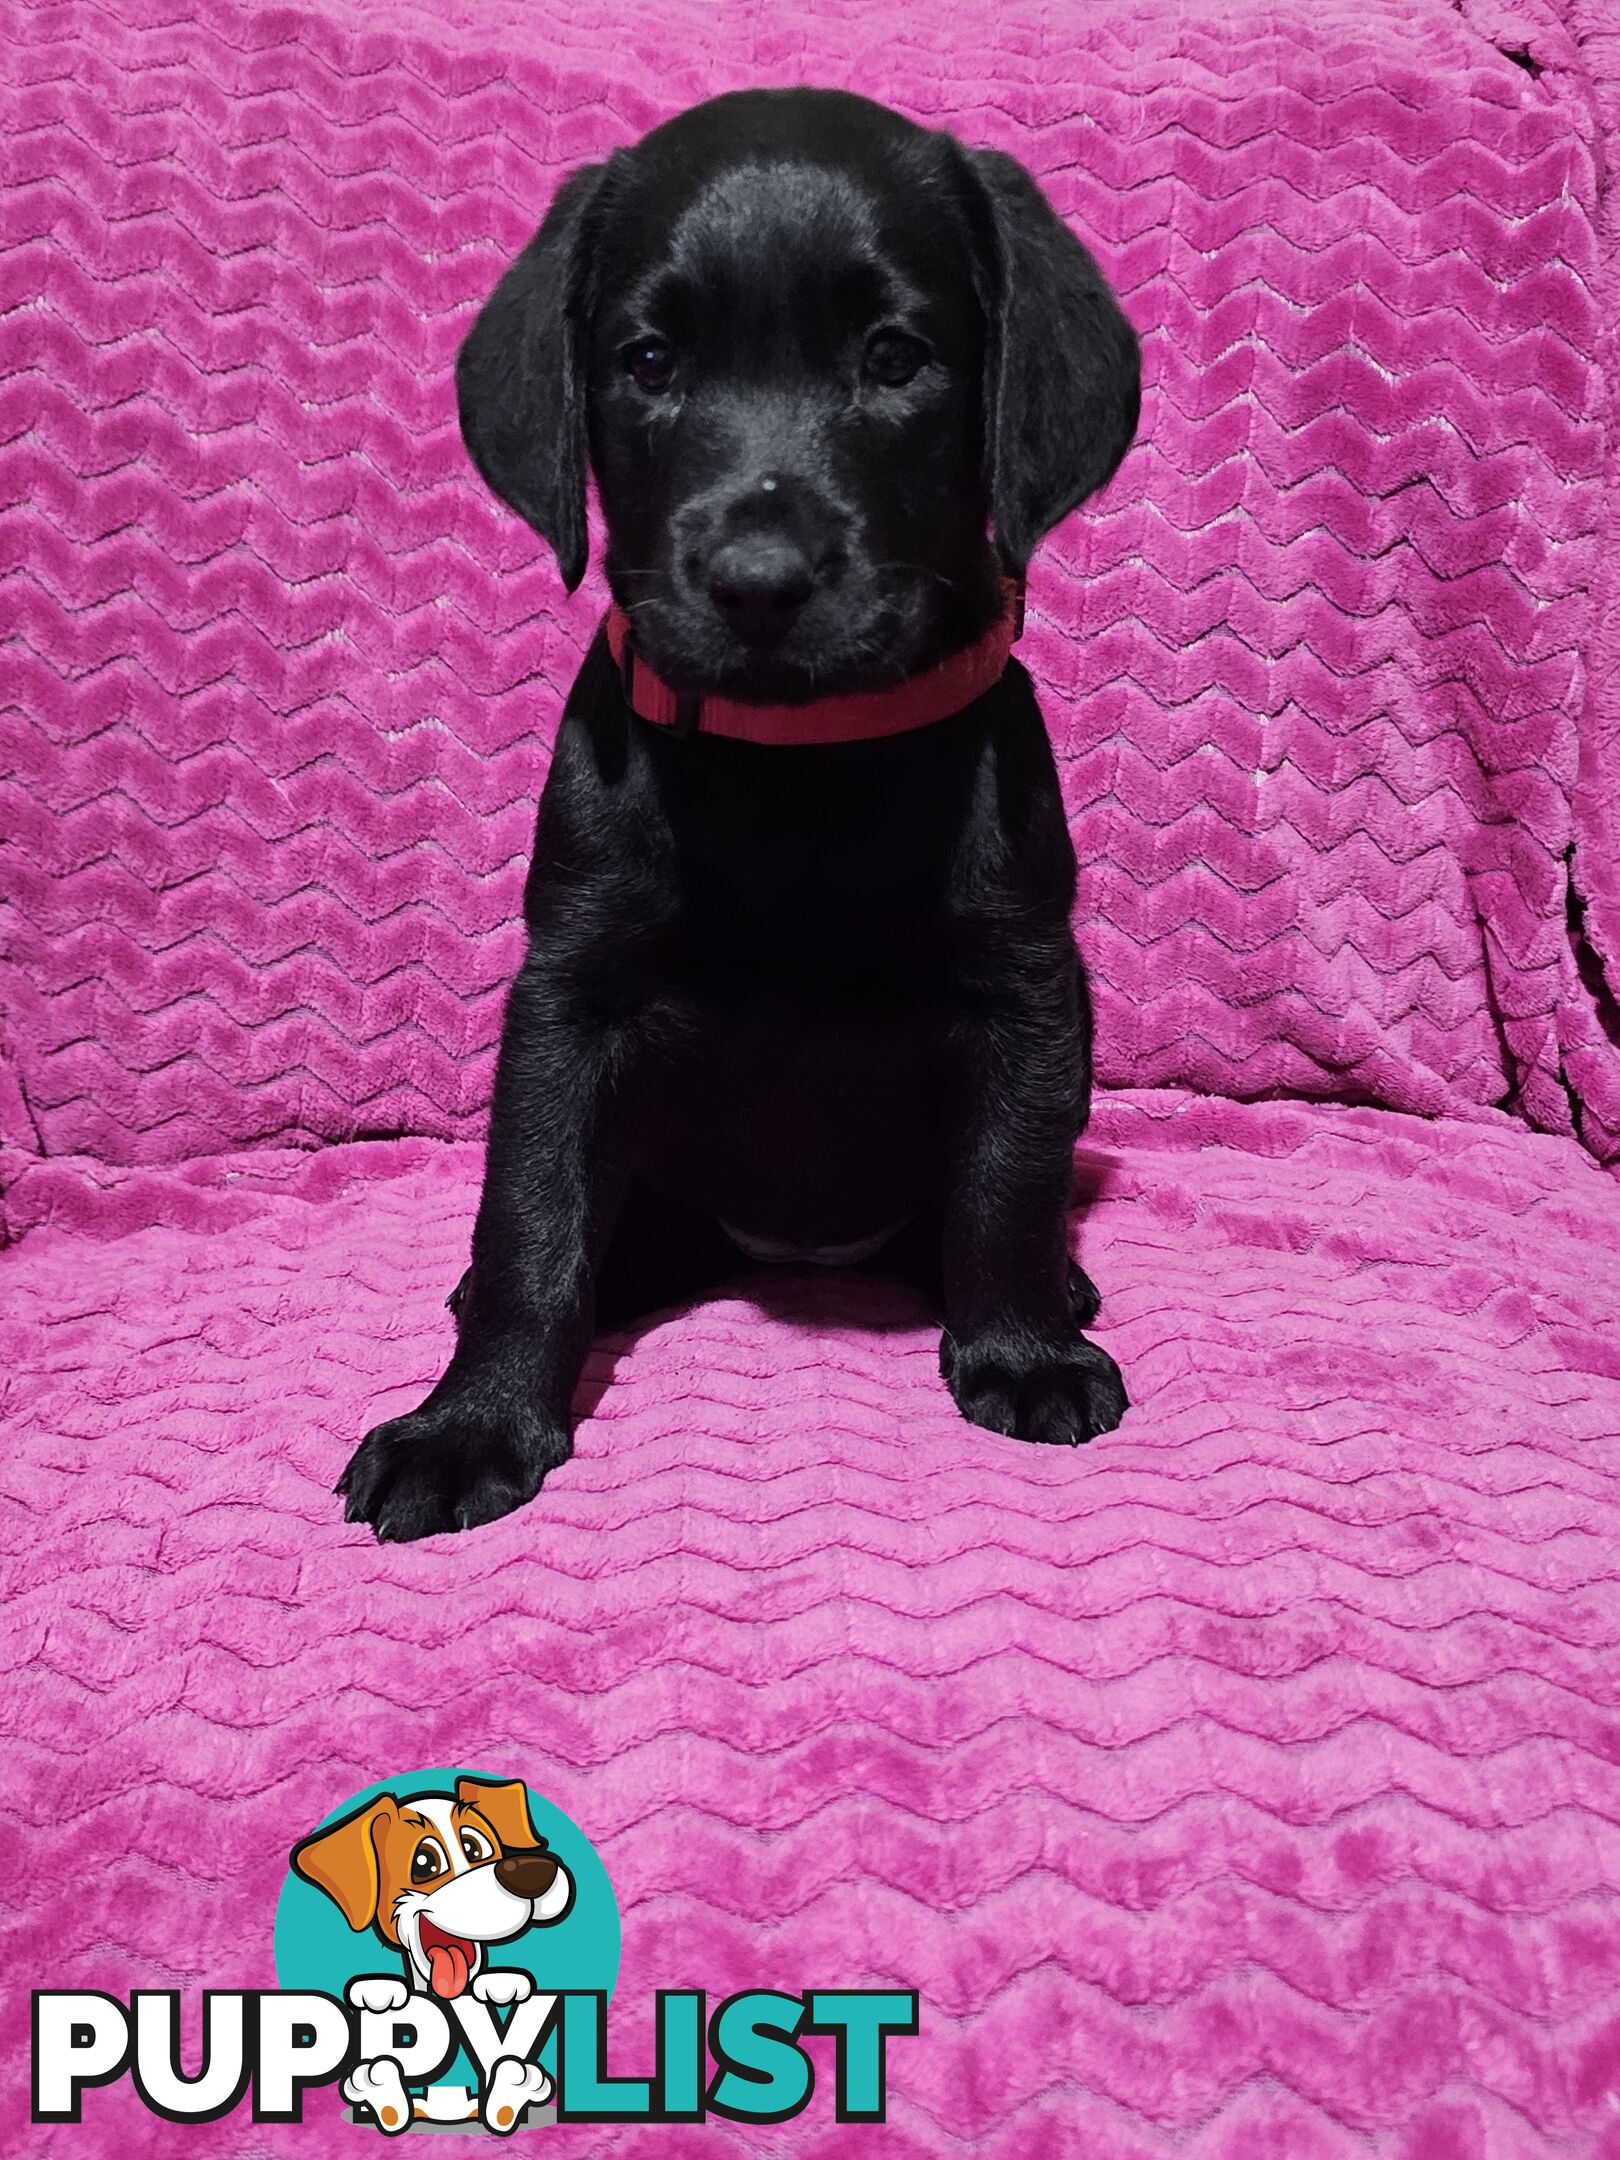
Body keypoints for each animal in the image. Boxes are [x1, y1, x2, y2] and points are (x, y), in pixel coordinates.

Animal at [343, 84, 1140, 1537]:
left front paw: (1025, 1350)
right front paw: (472, 1422)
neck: (797, 764)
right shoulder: (569, 998)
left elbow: (1006, 1184)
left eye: (897, 357)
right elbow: (530, 1217)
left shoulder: (1026, 987)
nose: (759, 580)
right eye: (650, 360)